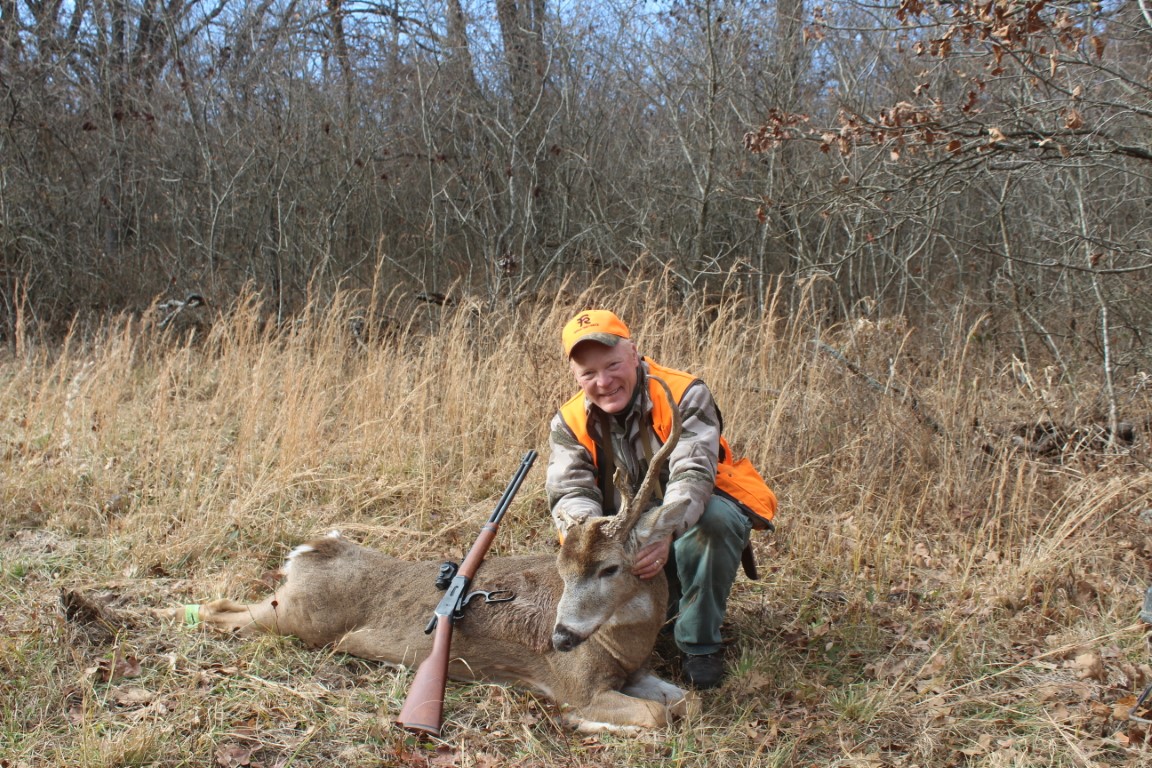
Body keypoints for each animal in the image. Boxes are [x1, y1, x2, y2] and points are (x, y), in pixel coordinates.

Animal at [161, 382, 691, 736]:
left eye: (609, 568)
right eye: (563, 571)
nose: (559, 638)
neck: (622, 644)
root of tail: (311, 549)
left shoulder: (636, 673)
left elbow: (687, 703)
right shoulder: (575, 685)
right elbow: (655, 714)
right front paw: (590, 725)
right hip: (294, 617)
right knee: (222, 613)